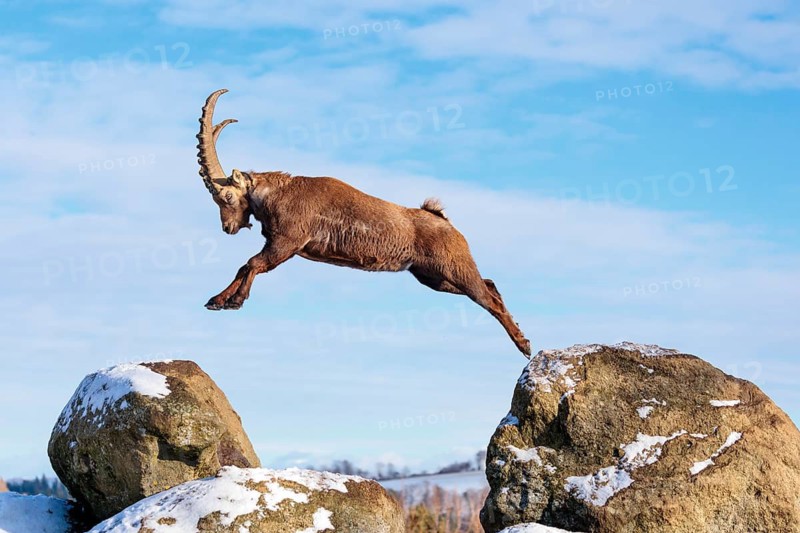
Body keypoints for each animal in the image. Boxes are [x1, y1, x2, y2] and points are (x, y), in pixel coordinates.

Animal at [197, 89, 531, 357]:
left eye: (227, 196)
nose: (227, 228)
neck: (279, 194)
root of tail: (445, 221)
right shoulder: (281, 244)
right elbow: (246, 266)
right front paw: (216, 300)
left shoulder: (287, 241)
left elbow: (252, 263)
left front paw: (235, 300)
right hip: (433, 277)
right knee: (490, 286)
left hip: (453, 267)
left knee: (487, 297)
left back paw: (524, 345)